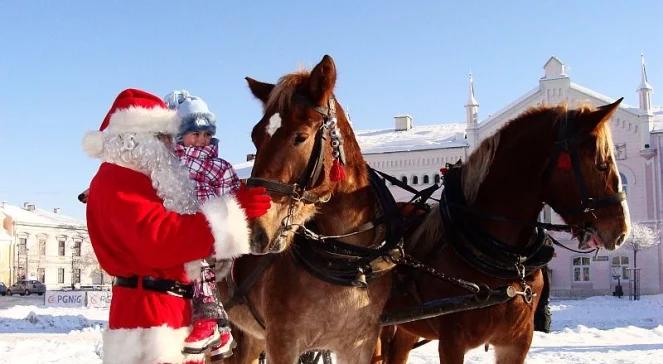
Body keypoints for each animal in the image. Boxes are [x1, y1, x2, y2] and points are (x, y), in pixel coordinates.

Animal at [223, 54, 396, 364]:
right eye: (256, 137)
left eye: (300, 137)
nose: (253, 232)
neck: (345, 260)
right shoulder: (282, 343)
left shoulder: (360, 344)